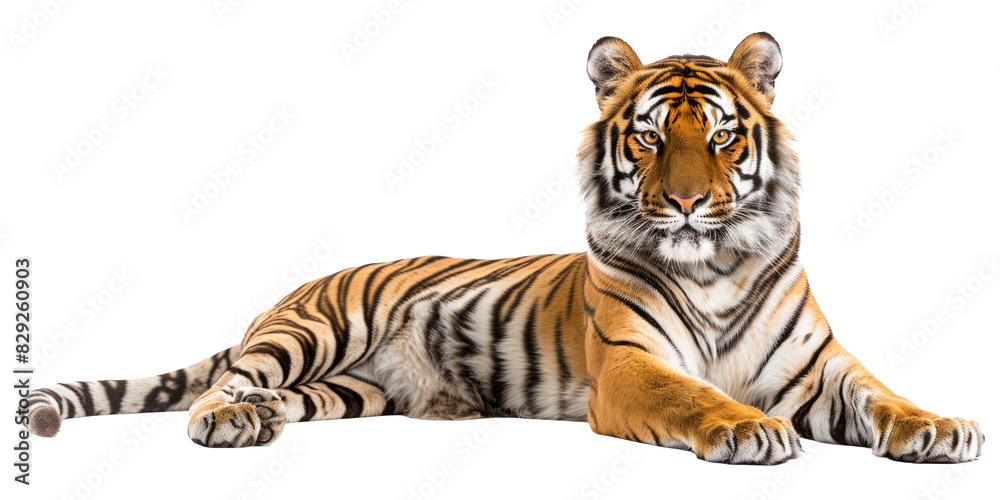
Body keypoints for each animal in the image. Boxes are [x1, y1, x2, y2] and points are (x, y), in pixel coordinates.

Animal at [25, 32, 984, 464]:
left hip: (351, 393)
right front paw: (747, 429)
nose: (684, 204)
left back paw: (262, 421)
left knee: (283, 398)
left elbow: (885, 395)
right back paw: (226, 418)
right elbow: (691, 395)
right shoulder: (629, 366)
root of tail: (289, 290)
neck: (714, 263)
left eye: (718, 138)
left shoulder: (818, 369)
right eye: (648, 138)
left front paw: (942, 427)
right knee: (224, 382)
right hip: (313, 331)